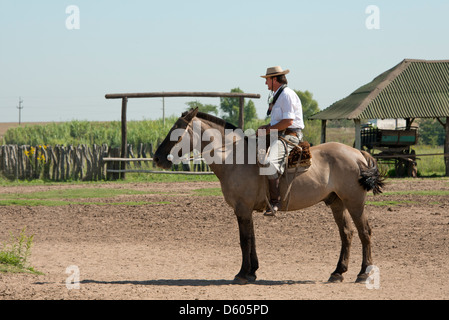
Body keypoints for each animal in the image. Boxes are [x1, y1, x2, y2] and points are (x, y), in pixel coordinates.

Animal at [152, 108, 384, 284]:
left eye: (177, 132)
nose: (157, 158)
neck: (235, 157)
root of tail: (358, 154)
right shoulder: (245, 210)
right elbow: (252, 238)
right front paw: (252, 271)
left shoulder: (242, 208)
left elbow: (244, 240)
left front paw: (241, 274)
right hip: (337, 203)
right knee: (347, 234)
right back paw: (337, 272)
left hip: (354, 202)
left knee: (365, 232)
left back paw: (363, 274)